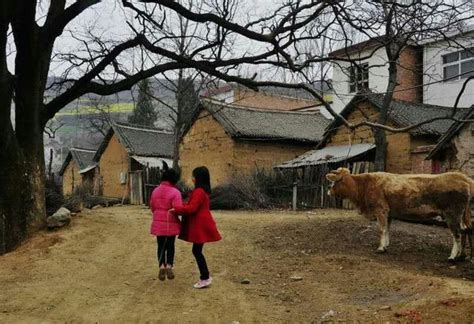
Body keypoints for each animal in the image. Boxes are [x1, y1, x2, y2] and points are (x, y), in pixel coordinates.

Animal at [328, 167, 472, 260]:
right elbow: (387, 229)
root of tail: (463, 178)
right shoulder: (389, 213)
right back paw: (462, 255)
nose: (329, 191)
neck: (363, 185)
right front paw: (386, 245)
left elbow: (382, 229)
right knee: (465, 231)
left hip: (452, 214)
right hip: (460, 216)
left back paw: (452, 256)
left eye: (336, 181)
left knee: (457, 234)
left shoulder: (381, 210)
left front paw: (380, 248)